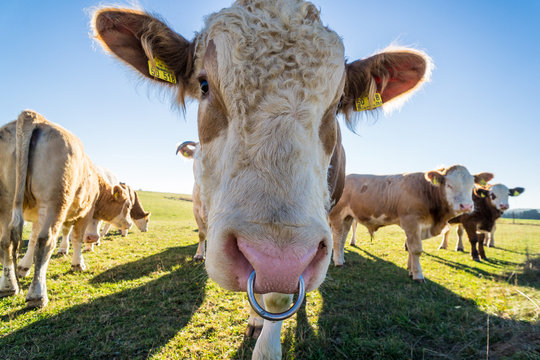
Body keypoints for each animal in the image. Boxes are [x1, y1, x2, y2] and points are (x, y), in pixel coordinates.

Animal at [0, 111, 133, 308]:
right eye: (127, 205)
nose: (130, 224)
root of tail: (34, 116)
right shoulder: (85, 212)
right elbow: (76, 237)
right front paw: (78, 264)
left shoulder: (38, 216)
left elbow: (32, 239)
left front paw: (24, 267)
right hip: (55, 201)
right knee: (45, 241)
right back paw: (37, 294)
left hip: (7, 202)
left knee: (6, 241)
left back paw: (9, 286)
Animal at [326, 166, 492, 282]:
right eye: (449, 185)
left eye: (472, 187)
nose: (467, 206)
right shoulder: (411, 222)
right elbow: (416, 249)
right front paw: (418, 275)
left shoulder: (417, 227)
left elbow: (411, 249)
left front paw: (411, 270)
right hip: (336, 214)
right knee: (337, 237)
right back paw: (338, 262)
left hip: (348, 217)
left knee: (342, 237)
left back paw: (341, 258)